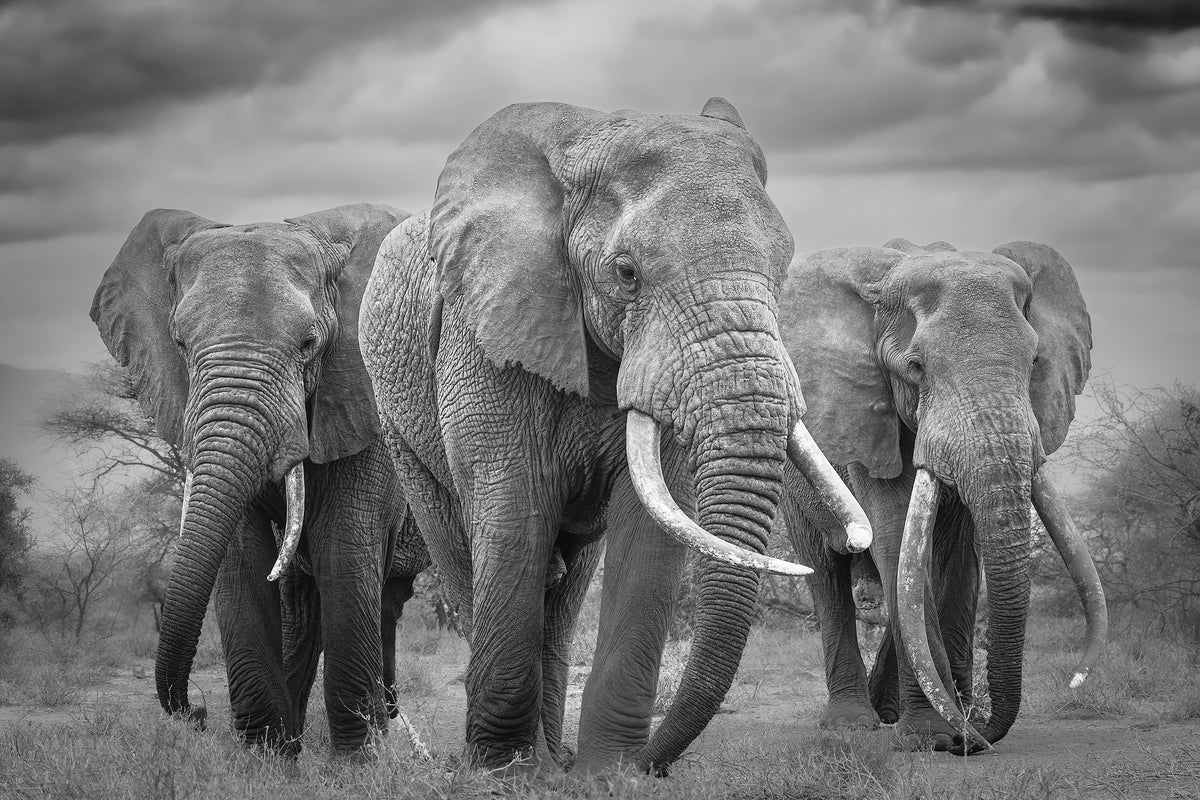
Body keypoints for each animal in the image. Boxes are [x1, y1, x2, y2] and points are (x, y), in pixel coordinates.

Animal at [90, 203, 431, 756]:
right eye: (179, 343)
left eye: (310, 344)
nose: (197, 712)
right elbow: (241, 557)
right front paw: (267, 758)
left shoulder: (363, 402)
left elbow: (346, 547)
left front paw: (355, 762)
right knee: (310, 603)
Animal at [359, 98, 871, 775]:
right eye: (627, 273)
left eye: (784, 267)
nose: (653, 762)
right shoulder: (486, 336)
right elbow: (514, 511)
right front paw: (508, 773)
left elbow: (650, 526)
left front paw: (608, 774)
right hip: (398, 427)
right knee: (465, 554)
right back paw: (519, 759)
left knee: (569, 582)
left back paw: (555, 755)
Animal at [777, 238, 1107, 752]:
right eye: (916, 368)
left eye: (1035, 362)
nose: (979, 735)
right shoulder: (870, 426)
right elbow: (895, 538)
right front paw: (935, 737)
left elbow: (956, 556)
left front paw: (959, 726)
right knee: (828, 574)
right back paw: (852, 722)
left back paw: (890, 711)